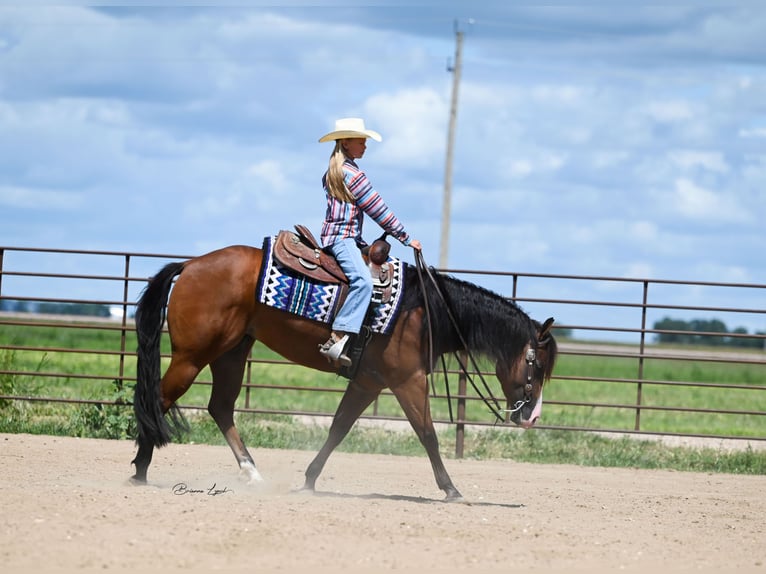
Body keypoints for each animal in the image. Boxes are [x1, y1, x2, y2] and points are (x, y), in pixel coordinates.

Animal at [132, 244, 560, 504]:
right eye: (536, 364)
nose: (532, 416)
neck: (421, 312)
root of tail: (190, 264)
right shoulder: (408, 380)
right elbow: (428, 435)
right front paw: (451, 489)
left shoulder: (369, 381)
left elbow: (339, 428)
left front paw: (308, 480)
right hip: (193, 355)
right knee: (160, 399)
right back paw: (139, 470)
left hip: (232, 353)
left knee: (220, 408)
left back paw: (252, 474)